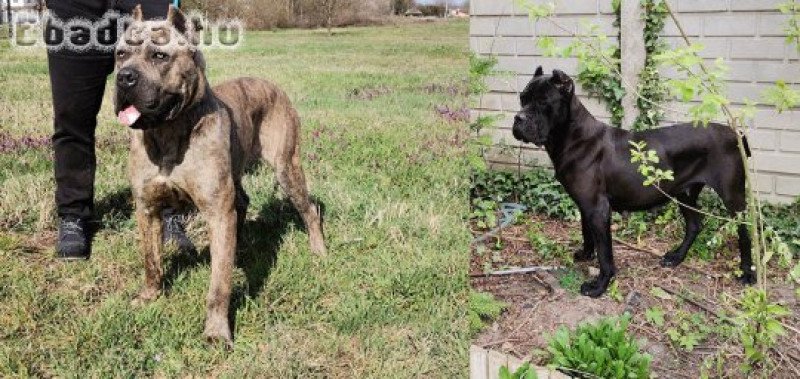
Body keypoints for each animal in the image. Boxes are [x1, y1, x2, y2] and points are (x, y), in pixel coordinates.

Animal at [115, 5, 324, 348]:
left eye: (159, 56)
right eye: (120, 54)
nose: (124, 78)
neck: (168, 132)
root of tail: (271, 84)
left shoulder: (216, 210)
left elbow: (218, 286)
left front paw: (216, 330)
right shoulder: (148, 209)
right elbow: (151, 260)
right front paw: (149, 296)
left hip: (286, 167)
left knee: (308, 209)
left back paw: (318, 249)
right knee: (242, 203)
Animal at [512, 68, 756, 300]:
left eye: (543, 101)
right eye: (522, 98)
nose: (518, 118)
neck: (572, 136)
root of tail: (736, 133)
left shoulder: (598, 208)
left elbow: (605, 252)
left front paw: (600, 285)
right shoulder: (585, 204)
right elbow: (586, 232)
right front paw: (585, 255)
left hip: (732, 197)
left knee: (745, 232)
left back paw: (747, 273)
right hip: (684, 193)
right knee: (695, 224)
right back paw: (676, 257)